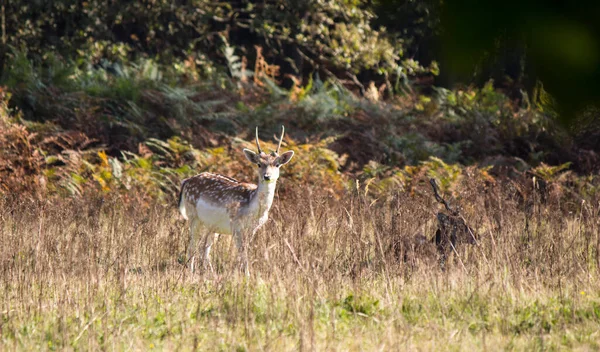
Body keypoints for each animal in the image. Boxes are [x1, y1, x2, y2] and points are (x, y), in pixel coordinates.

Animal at [178, 126, 296, 276]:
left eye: (277, 164)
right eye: (259, 164)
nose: (267, 176)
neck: (253, 209)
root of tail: (186, 181)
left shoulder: (253, 229)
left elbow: (245, 251)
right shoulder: (235, 225)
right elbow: (242, 252)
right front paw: (246, 275)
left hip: (211, 225)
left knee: (205, 246)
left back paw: (209, 273)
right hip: (193, 215)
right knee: (192, 245)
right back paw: (191, 272)